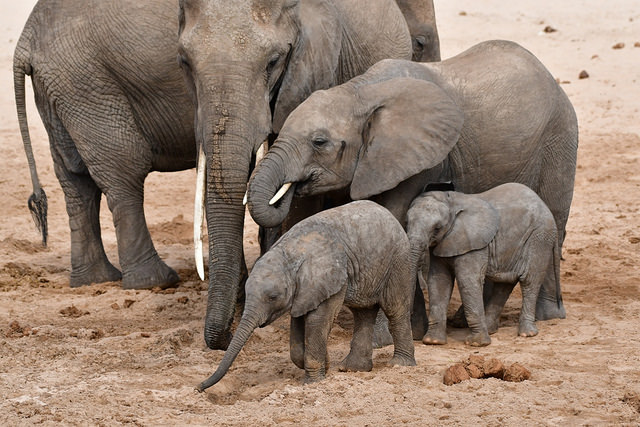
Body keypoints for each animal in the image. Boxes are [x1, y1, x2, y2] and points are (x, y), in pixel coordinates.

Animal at [200, 201, 420, 392]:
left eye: (273, 297)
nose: (199, 387)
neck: (289, 254)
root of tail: (390, 215)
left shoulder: (327, 280)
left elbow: (316, 321)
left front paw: (313, 382)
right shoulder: (304, 291)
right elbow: (298, 324)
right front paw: (326, 365)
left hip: (398, 261)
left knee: (395, 309)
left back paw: (399, 365)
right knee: (363, 314)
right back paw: (352, 368)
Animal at [404, 184, 560, 348]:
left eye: (437, 228)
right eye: (406, 223)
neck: (450, 202)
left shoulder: (473, 243)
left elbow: (467, 281)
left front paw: (477, 343)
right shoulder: (443, 243)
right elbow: (439, 281)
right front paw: (433, 341)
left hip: (539, 237)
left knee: (529, 281)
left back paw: (527, 333)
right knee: (505, 284)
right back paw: (491, 329)